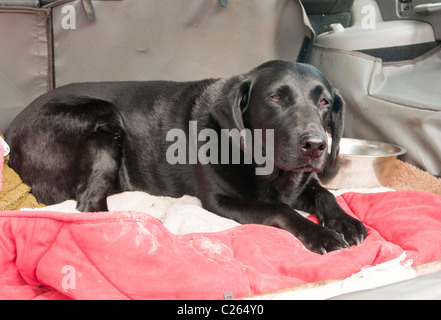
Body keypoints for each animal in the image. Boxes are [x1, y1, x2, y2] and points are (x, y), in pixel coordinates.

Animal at [5, 61, 366, 254]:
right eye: (276, 97)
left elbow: (325, 194)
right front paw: (322, 234)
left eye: (324, 102)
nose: (316, 145)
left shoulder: (304, 184)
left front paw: (346, 222)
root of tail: (10, 132)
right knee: (88, 207)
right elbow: (280, 209)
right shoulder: (222, 201)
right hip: (103, 116)